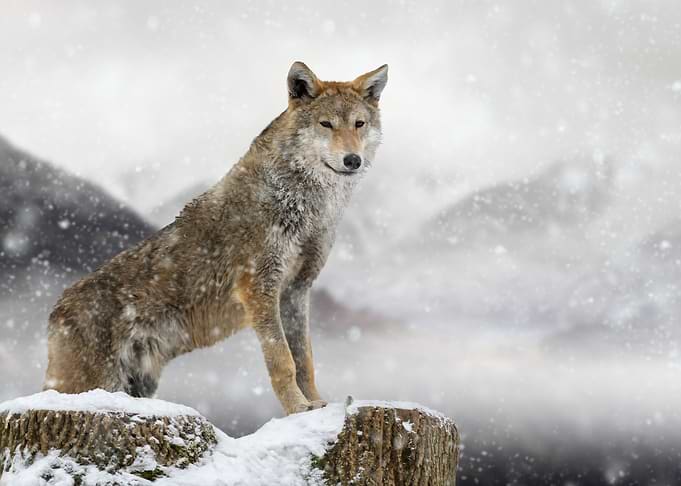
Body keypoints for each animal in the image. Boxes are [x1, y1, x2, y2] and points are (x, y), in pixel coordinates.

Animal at [43, 62, 388, 414]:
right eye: (326, 124)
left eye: (359, 124)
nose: (352, 160)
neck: (305, 203)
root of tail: (55, 311)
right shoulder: (259, 287)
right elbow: (283, 361)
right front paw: (296, 409)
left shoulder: (296, 290)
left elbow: (304, 360)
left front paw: (316, 404)